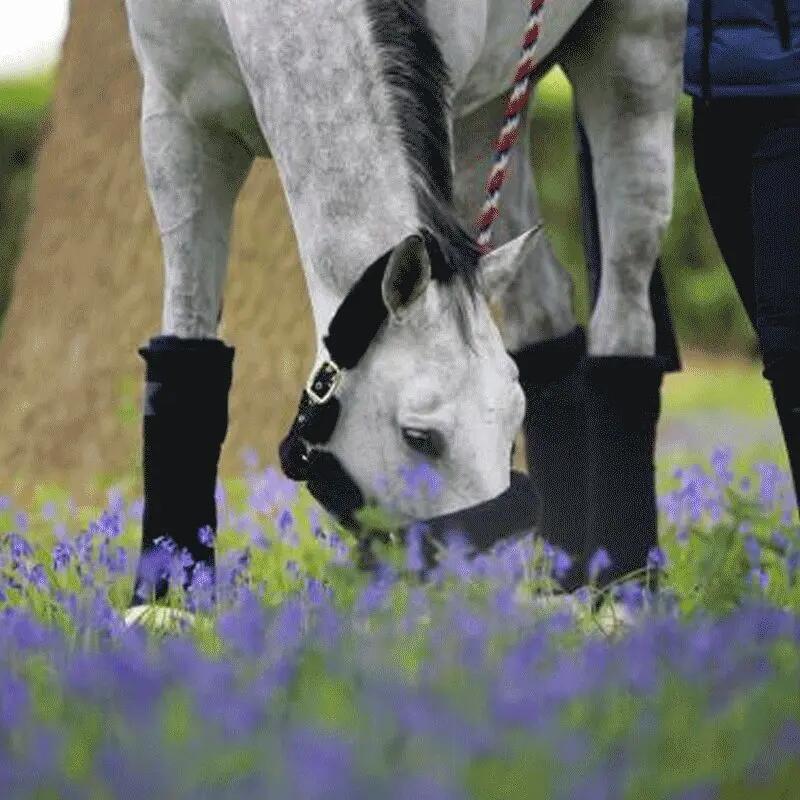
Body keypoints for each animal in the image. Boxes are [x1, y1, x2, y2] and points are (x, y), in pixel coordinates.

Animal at [122, 0, 688, 606]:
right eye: (420, 438)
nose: (489, 599)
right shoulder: (176, 122)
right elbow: (185, 339)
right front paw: (166, 606)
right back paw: (567, 580)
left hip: (635, 60)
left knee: (624, 312)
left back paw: (622, 594)